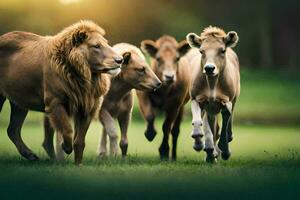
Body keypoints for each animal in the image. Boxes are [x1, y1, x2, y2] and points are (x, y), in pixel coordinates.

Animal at [0, 20, 123, 165]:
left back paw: (31, 155)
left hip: (20, 102)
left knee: (13, 130)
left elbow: (80, 141)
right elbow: (67, 130)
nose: (120, 60)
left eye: (106, 43)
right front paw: (65, 147)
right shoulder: (55, 103)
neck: (85, 77)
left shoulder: (88, 107)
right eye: (96, 46)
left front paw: (78, 165)